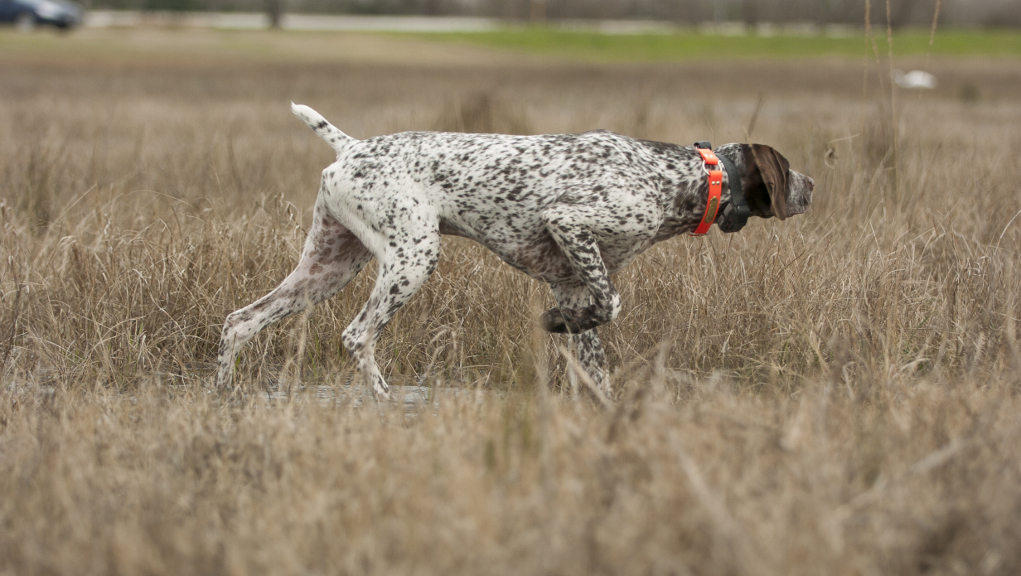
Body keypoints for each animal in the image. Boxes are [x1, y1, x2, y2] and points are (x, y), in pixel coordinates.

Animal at [215, 103, 812, 398]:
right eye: (789, 170)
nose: (812, 186)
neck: (683, 178)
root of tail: (353, 147)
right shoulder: (569, 224)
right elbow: (613, 304)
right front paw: (551, 323)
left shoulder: (573, 282)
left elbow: (598, 362)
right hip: (412, 257)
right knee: (357, 336)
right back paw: (387, 404)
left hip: (328, 266)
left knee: (240, 322)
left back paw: (223, 396)